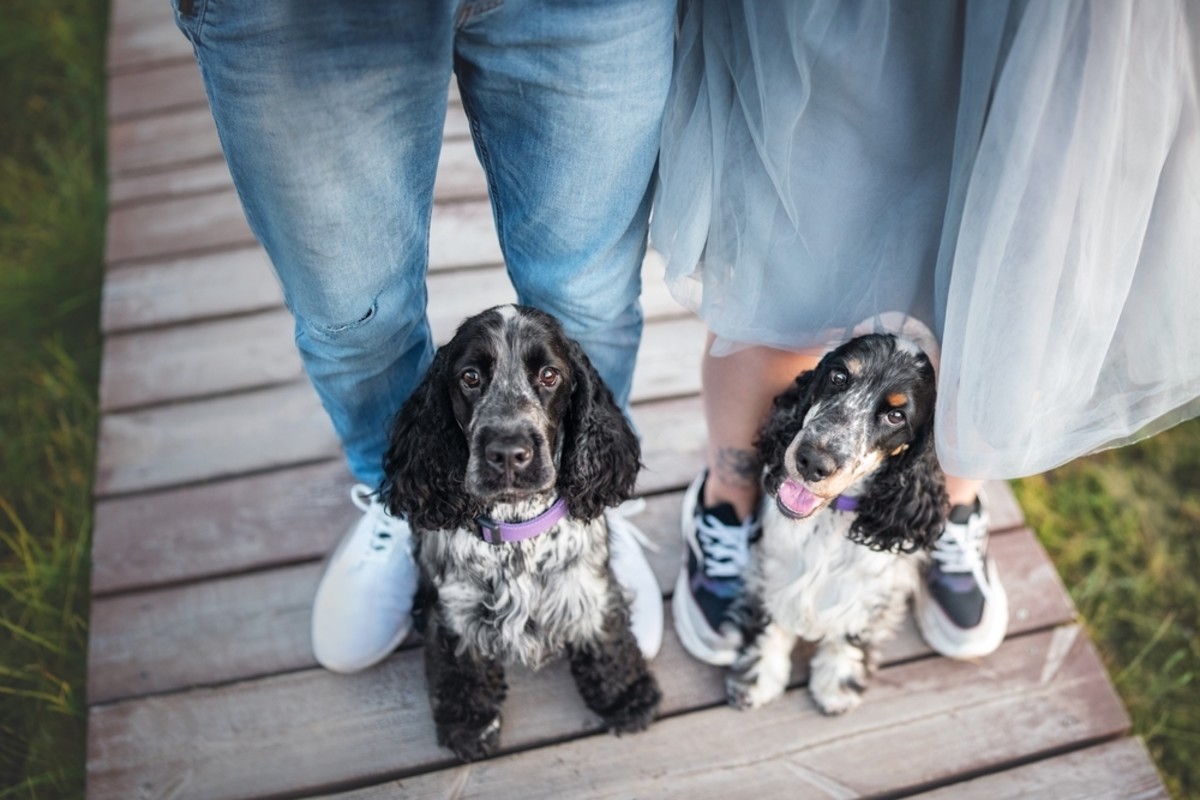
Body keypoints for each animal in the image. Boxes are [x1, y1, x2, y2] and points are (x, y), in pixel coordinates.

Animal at [720, 335, 945, 714]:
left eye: (896, 415)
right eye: (839, 377)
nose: (812, 461)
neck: (829, 518)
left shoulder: (872, 585)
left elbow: (853, 630)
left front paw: (838, 684)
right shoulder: (774, 564)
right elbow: (770, 622)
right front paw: (756, 678)